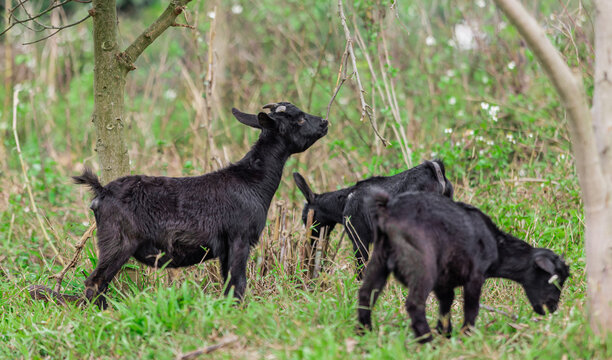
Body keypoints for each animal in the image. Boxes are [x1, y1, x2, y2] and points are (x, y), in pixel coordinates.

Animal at [73, 101, 328, 306]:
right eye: (299, 118)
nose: (325, 122)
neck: (252, 181)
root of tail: (102, 191)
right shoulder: (240, 237)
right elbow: (239, 283)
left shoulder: (225, 248)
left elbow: (228, 284)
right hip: (117, 242)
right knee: (95, 281)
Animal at [294, 159, 452, 278]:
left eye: (304, 217)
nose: (310, 243)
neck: (341, 204)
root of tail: (438, 173)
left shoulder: (359, 238)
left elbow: (361, 269)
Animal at [356, 188, 572, 344]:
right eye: (555, 279)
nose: (552, 308)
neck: (497, 245)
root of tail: (388, 210)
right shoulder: (475, 276)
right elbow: (471, 308)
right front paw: (466, 334)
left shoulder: (444, 282)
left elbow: (446, 305)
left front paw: (446, 334)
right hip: (422, 264)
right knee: (414, 303)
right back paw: (426, 341)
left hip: (379, 258)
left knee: (366, 293)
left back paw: (364, 332)